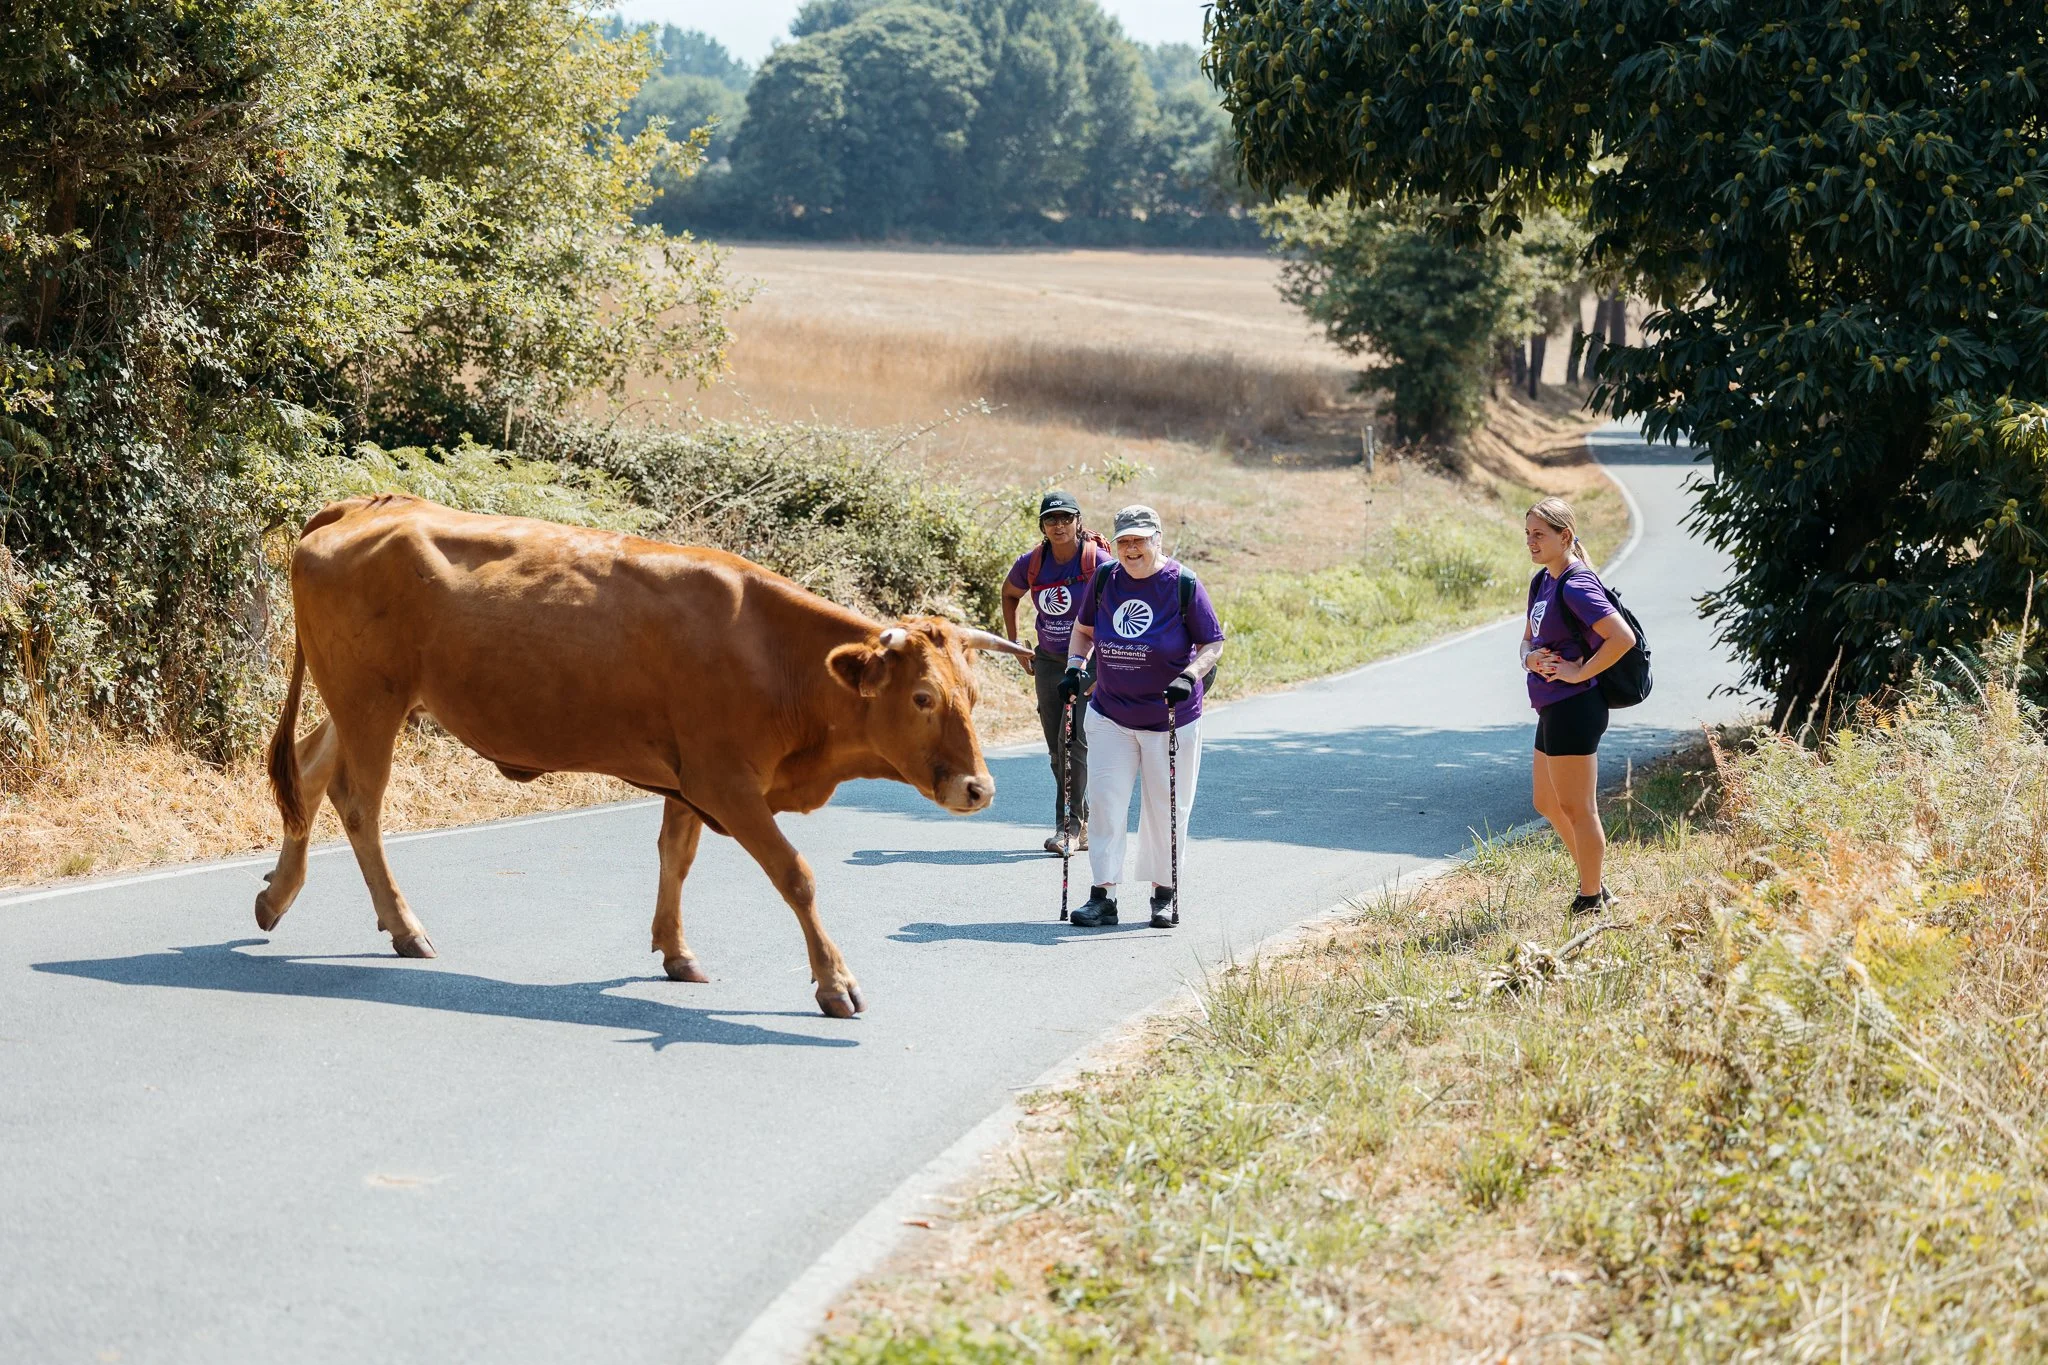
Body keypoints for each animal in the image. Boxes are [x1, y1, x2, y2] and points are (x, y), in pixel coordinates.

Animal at [252, 493, 1032, 1018]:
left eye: (971, 693)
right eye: (923, 697)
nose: (979, 789)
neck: (774, 654)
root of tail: (373, 502)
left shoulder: (690, 779)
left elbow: (675, 857)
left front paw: (676, 951)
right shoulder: (726, 783)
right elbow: (796, 874)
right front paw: (835, 983)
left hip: (363, 701)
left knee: (310, 768)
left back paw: (276, 896)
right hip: (370, 699)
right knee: (359, 801)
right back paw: (405, 928)